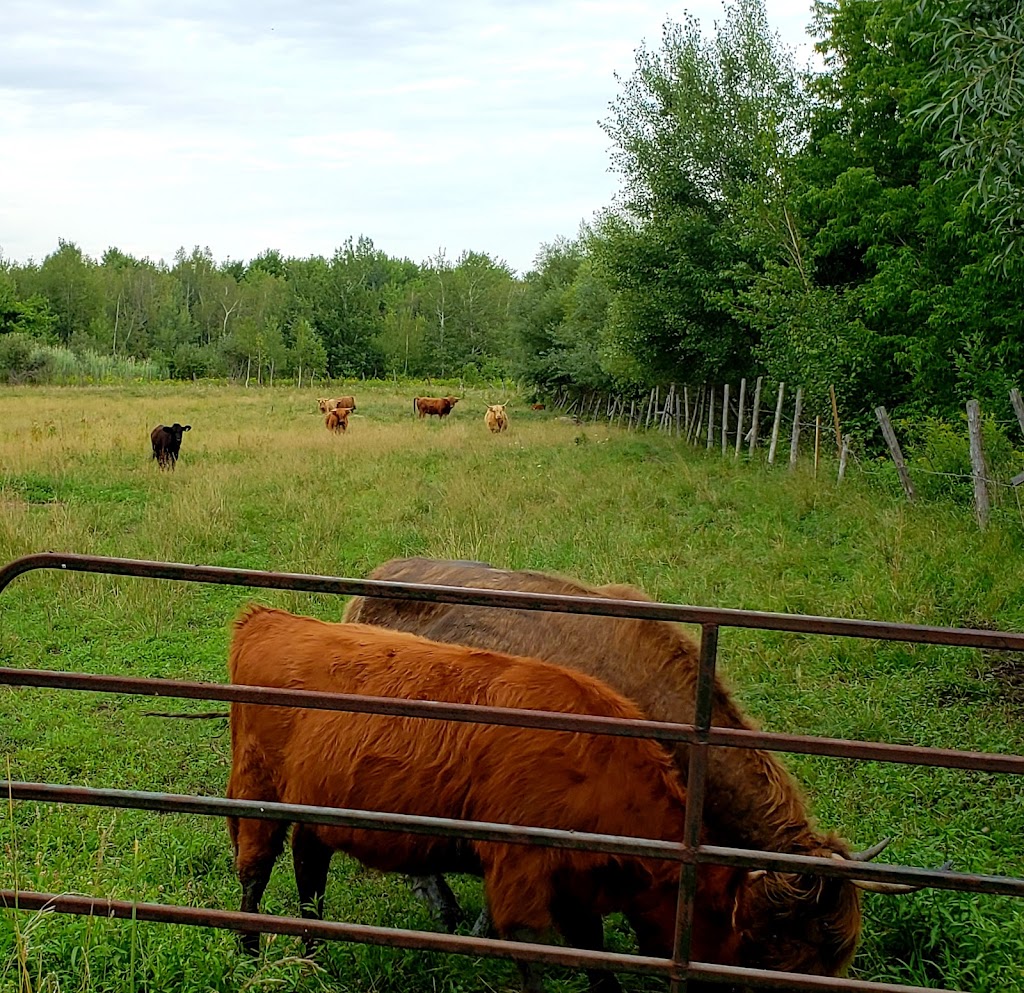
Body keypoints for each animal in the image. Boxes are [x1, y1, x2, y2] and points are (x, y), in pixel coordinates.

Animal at [228, 601, 749, 990]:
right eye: (724, 917)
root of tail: (269, 619)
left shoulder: (572, 886)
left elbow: (593, 953)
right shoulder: (518, 871)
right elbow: (530, 951)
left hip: (313, 812)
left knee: (309, 877)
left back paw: (313, 957)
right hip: (258, 792)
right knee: (256, 872)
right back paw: (249, 957)